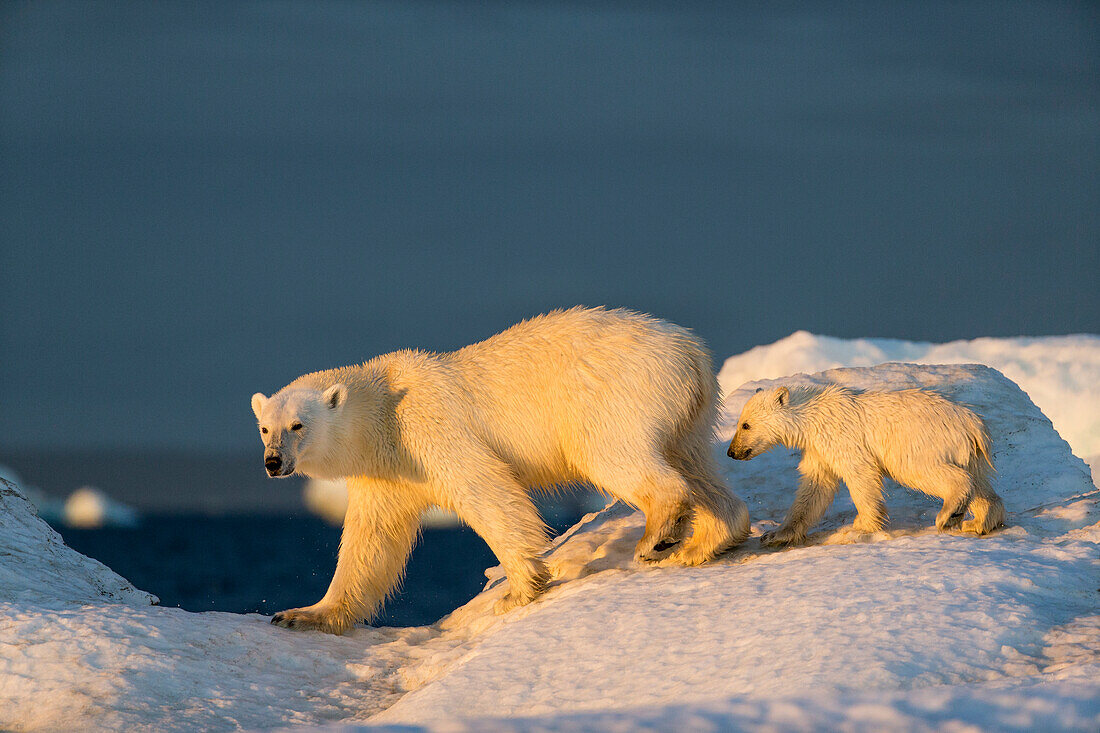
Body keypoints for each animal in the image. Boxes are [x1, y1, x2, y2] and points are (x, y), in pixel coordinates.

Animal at [251, 305, 748, 629]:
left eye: (297, 425)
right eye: (264, 427)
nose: (274, 462)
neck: (383, 411)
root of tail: (692, 353)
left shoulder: (430, 430)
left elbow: (486, 490)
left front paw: (518, 589)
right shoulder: (386, 473)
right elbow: (371, 541)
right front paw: (302, 613)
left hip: (615, 396)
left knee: (617, 456)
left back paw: (658, 536)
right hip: (689, 412)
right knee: (695, 465)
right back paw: (704, 541)